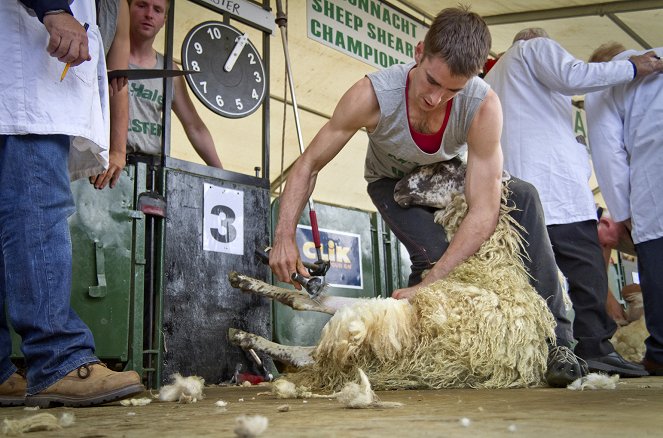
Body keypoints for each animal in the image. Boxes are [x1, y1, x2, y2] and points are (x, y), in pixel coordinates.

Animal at [231, 160, 556, 390]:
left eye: (445, 167)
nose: (398, 187)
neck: (489, 265)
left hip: (384, 317)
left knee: (312, 335)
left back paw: (244, 327)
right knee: (310, 329)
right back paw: (246, 313)